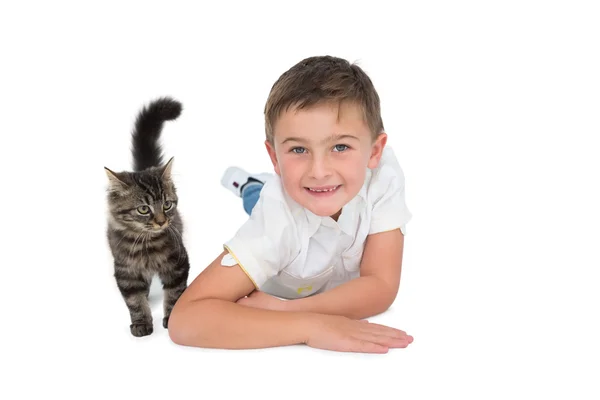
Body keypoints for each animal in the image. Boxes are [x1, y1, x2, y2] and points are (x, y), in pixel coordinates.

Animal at [104, 97, 190, 338]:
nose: (161, 222)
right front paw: (141, 323)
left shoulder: (178, 265)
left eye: (167, 205)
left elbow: (174, 295)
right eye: (144, 209)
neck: (146, 245)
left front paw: (170, 319)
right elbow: (134, 301)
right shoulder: (125, 272)